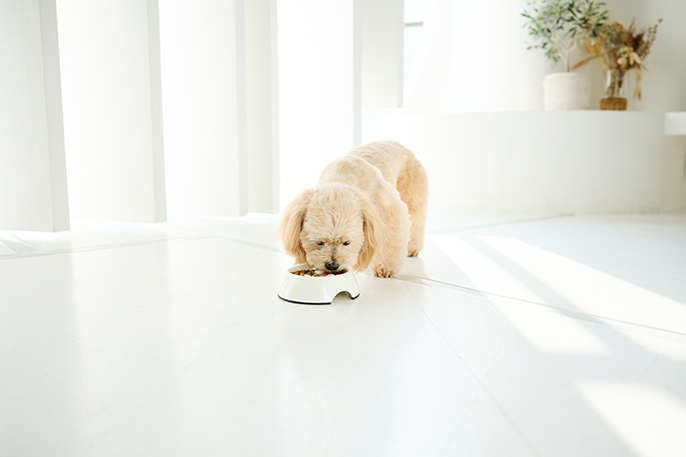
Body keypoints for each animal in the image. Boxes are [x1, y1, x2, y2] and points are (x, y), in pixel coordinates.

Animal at [282, 141, 428, 278]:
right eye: (319, 242)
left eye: (347, 242)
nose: (332, 265)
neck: (340, 179)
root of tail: (401, 146)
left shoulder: (387, 209)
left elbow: (390, 238)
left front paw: (384, 268)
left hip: (413, 190)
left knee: (416, 218)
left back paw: (412, 249)